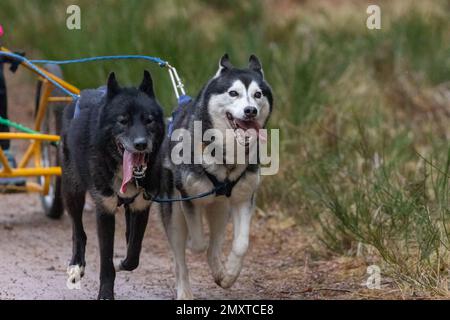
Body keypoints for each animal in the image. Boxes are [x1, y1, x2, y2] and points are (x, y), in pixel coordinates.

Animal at [60, 71, 163, 298]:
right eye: (122, 121)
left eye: (149, 120)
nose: (141, 144)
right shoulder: (104, 211)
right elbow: (106, 261)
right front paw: (106, 293)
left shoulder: (141, 206)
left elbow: (134, 253)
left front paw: (122, 263)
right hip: (72, 191)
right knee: (78, 231)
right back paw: (76, 265)